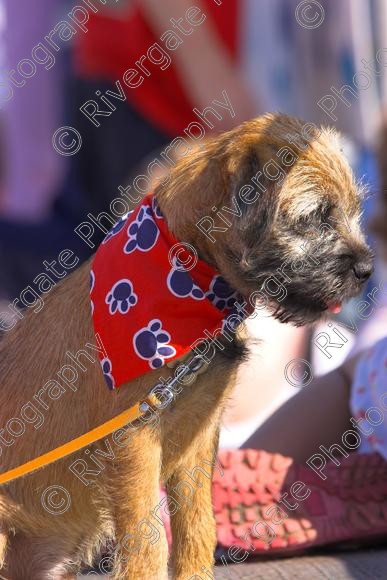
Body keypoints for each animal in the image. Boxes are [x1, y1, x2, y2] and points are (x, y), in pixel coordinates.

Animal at [0, 114, 372, 580]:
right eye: (315, 216)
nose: (368, 269)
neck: (183, 270)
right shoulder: (134, 442)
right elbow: (148, 540)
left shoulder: (200, 436)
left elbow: (197, 526)